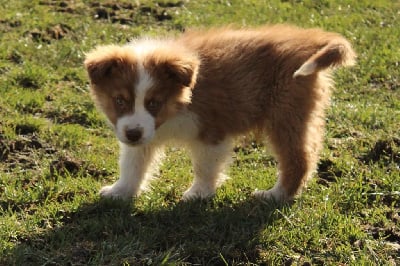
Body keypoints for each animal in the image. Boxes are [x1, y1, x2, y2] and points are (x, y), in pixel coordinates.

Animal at [84, 25, 356, 203]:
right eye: (120, 100)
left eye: (154, 103)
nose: (132, 134)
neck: (176, 107)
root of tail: (310, 41)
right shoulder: (143, 133)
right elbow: (133, 164)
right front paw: (120, 192)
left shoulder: (211, 130)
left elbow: (204, 167)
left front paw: (198, 194)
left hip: (286, 116)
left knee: (299, 160)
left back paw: (275, 195)